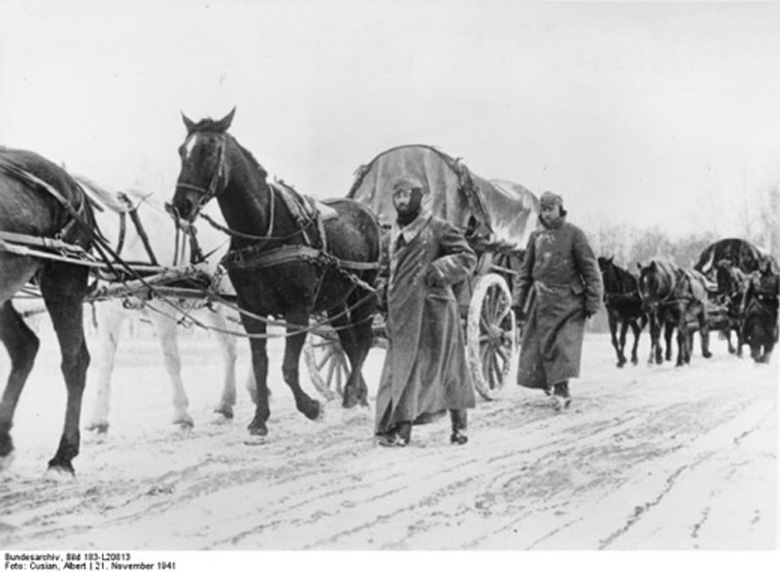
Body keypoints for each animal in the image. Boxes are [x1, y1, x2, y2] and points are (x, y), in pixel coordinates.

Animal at [75, 177, 244, 436]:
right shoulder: (109, 314)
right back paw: (225, 405)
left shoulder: (162, 310)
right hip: (210, 305)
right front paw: (99, 419)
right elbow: (105, 363)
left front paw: (182, 416)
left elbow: (171, 360)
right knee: (229, 347)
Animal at [168, 108, 380, 438]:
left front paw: (311, 408)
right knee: (347, 341)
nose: (181, 205)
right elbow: (261, 365)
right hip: (336, 300)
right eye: (182, 151)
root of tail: (366, 210)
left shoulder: (298, 310)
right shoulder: (251, 312)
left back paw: (352, 394)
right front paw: (260, 420)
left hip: (364, 290)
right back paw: (355, 397)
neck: (264, 231)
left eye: (210, 150)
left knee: (364, 339)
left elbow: (288, 369)